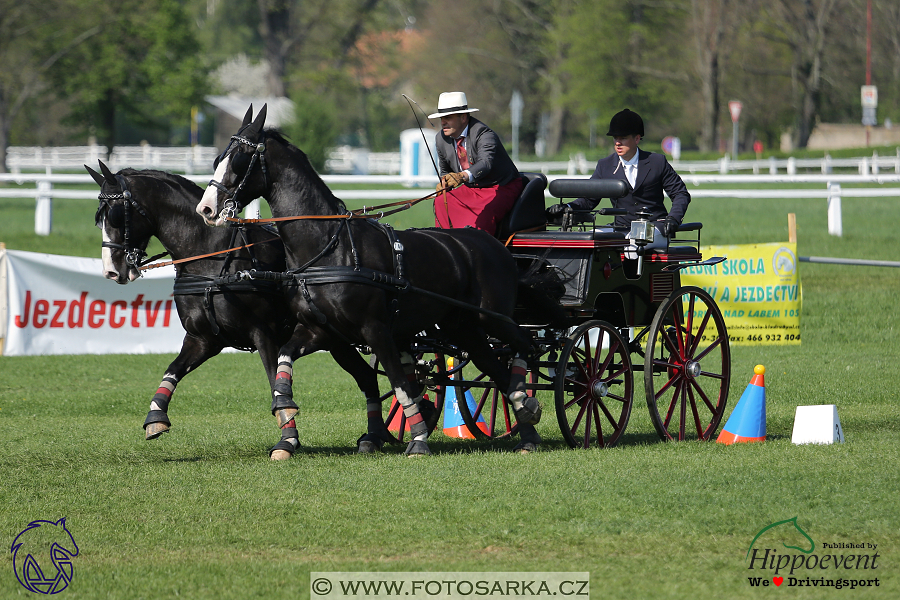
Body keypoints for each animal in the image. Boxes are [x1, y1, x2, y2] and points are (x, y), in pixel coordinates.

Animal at [88, 162, 386, 458]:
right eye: (98, 219)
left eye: (115, 216)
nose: (111, 271)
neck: (213, 257)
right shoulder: (203, 340)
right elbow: (172, 370)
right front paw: (155, 417)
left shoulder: (265, 335)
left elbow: (275, 384)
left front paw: (288, 438)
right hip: (337, 340)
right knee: (368, 379)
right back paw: (375, 436)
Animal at [197, 106, 548, 454]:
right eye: (216, 159)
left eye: (240, 157)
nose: (207, 209)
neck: (329, 246)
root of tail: (494, 245)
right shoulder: (320, 331)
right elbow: (284, 360)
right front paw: (285, 420)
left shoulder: (377, 329)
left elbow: (400, 383)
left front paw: (418, 438)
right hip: (462, 326)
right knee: (496, 369)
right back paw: (527, 426)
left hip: (493, 318)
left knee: (525, 348)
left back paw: (530, 410)